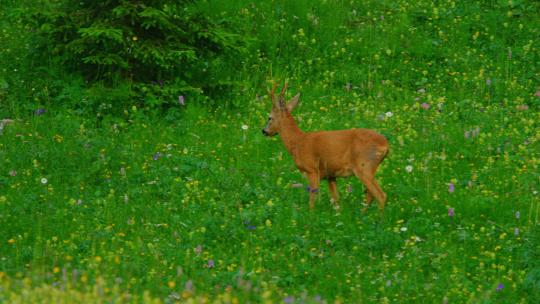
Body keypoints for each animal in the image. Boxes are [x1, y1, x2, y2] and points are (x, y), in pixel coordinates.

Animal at [262, 82, 388, 213]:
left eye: (269, 117)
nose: (264, 131)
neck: (297, 141)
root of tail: (385, 144)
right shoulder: (330, 175)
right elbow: (336, 199)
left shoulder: (312, 169)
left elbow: (312, 200)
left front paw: (311, 215)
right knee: (370, 195)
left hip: (364, 166)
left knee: (380, 195)